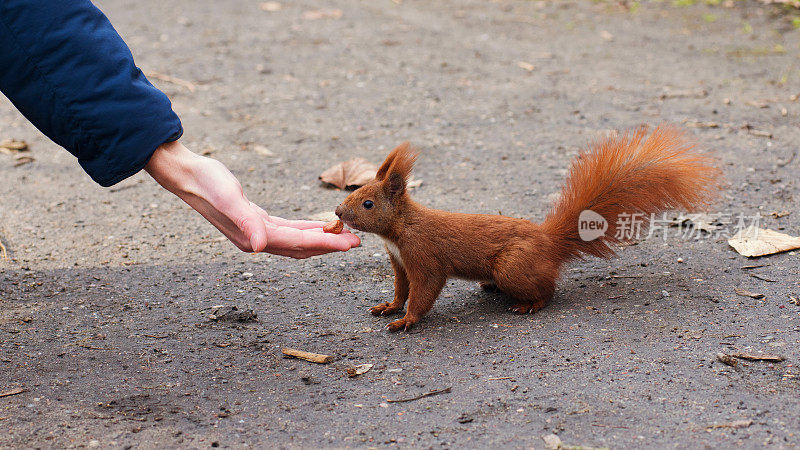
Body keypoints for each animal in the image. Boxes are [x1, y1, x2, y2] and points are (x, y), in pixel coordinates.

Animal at [334, 125, 720, 330]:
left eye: (368, 204)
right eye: (355, 190)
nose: (338, 211)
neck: (399, 230)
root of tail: (549, 242)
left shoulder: (424, 256)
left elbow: (423, 291)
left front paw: (406, 321)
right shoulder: (399, 261)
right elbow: (402, 289)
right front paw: (389, 307)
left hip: (513, 265)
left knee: (549, 290)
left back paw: (529, 305)